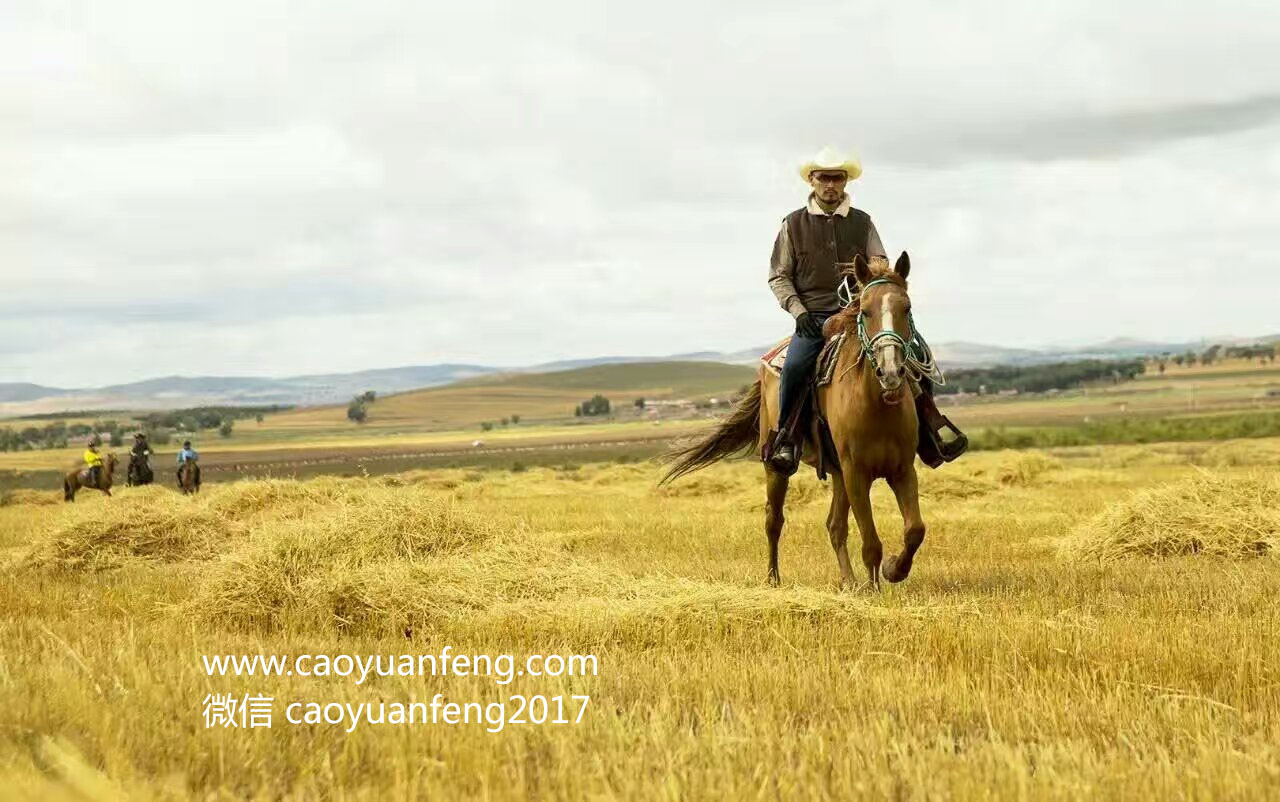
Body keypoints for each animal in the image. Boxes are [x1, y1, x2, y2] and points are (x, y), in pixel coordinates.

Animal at [665, 254, 926, 593]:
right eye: (865, 311)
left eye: (906, 308)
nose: (890, 372)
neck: (876, 403)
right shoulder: (856, 473)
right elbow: (871, 543)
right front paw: (875, 589)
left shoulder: (902, 470)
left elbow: (915, 530)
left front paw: (894, 570)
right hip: (777, 467)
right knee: (773, 521)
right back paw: (773, 578)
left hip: (838, 474)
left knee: (834, 526)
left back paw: (848, 582)